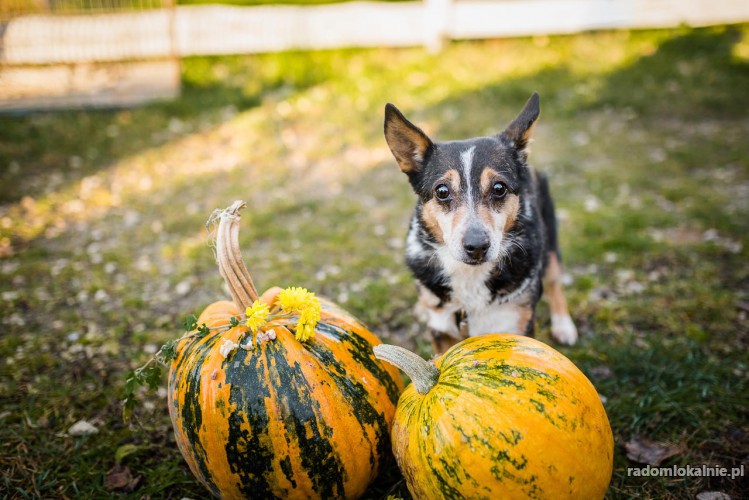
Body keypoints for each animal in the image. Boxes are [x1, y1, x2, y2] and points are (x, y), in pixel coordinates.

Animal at [382, 93, 576, 352]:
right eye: (442, 191)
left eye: (499, 188)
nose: (476, 247)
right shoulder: (441, 330)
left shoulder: (518, 325)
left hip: (550, 235)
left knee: (554, 280)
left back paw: (564, 325)